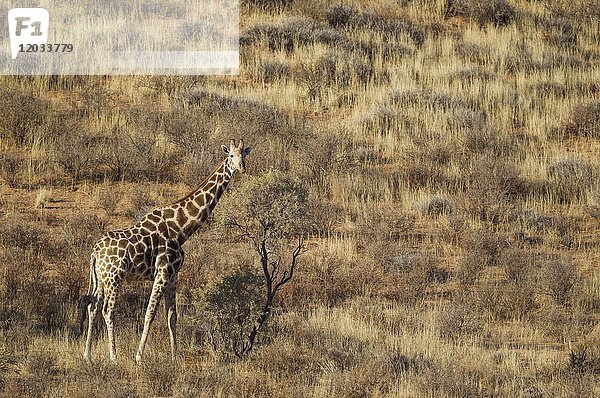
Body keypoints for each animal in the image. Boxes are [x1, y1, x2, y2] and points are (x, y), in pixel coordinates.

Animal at [82, 138, 251, 364]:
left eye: (244, 155)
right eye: (231, 155)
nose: (241, 168)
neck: (181, 229)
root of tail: (95, 252)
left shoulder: (173, 276)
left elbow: (172, 317)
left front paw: (174, 355)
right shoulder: (162, 273)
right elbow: (150, 314)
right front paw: (139, 356)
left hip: (100, 278)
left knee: (92, 307)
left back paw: (88, 356)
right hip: (114, 277)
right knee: (108, 310)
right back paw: (114, 357)